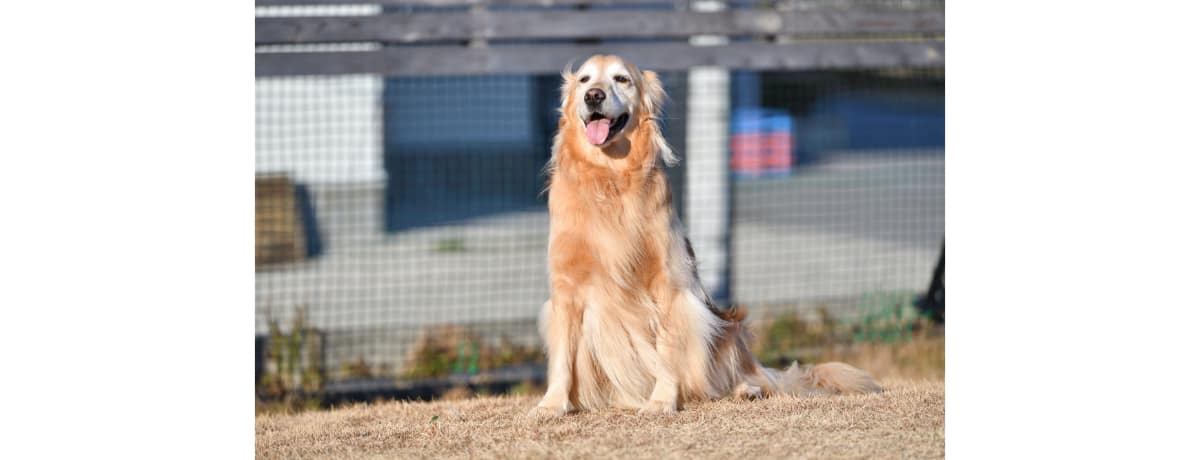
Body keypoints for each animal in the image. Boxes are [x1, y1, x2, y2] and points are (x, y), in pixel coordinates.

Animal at [535, 54, 883, 417]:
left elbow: (669, 350)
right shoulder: (566, 288)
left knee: (743, 375)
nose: (594, 96)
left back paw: (746, 389)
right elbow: (562, 356)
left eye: (621, 79)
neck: (608, 179)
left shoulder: (669, 284)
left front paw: (662, 400)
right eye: (585, 80)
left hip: (728, 327)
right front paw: (553, 403)